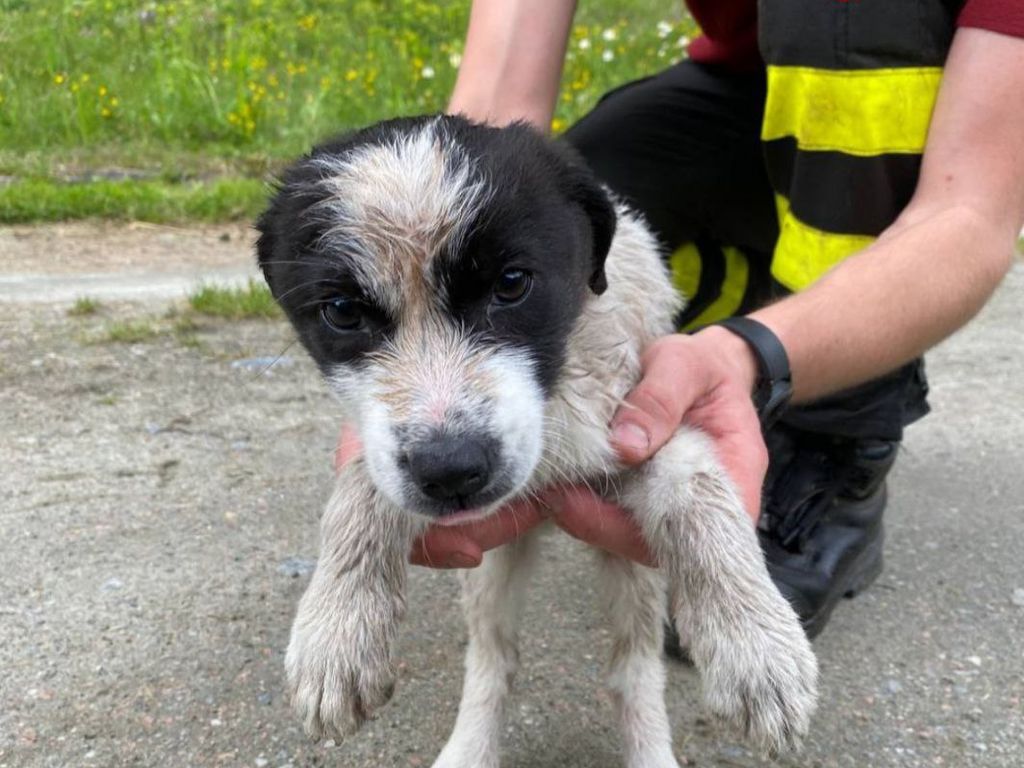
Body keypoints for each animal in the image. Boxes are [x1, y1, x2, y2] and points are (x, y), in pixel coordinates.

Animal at [256, 115, 817, 767]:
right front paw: (336, 630)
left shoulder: (635, 424)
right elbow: (362, 486)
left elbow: (698, 491)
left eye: (512, 283)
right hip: (494, 568)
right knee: (493, 658)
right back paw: (469, 745)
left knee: (633, 669)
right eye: (343, 311)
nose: (451, 471)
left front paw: (757, 645)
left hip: (630, 567)